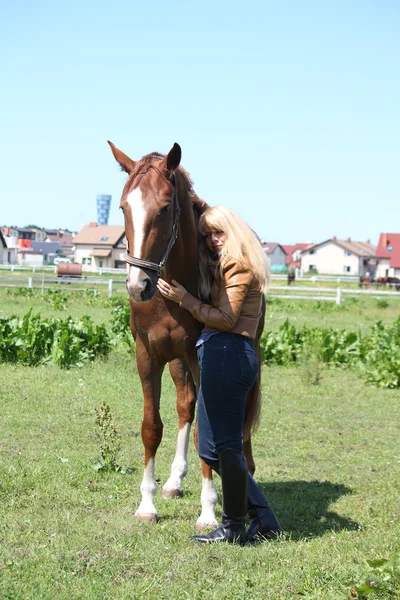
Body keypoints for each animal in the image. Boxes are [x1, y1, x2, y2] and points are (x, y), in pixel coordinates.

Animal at [108, 142, 262, 528]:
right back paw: (175, 481)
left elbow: (205, 431)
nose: (138, 285)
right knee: (185, 405)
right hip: (177, 361)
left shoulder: (202, 359)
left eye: (164, 209)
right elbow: (152, 426)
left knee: (240, 418)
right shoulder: (148, 356)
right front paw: (147, 504)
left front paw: (208, 512)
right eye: (123, 207)